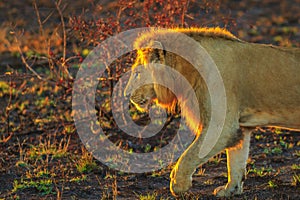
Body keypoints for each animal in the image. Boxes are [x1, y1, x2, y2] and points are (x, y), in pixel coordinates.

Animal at [123, 27, 300, 198]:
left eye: (137, 74)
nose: (126, 94)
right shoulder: (240, 128)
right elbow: (235, 161)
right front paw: (230, 190)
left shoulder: (220, 127)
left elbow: (189, 156)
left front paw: (177, 184)